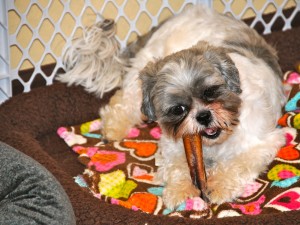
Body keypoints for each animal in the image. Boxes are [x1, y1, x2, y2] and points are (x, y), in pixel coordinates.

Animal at [58, 4, 286, 209]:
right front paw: (180, 190)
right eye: (179, 109)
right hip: (141, 77)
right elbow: (178, 166)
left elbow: (235, 165)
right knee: (123, 102)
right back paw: (113, 128)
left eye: (210, 92)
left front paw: (219, 187)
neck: (212, 145)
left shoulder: (261, 143)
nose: (203, 116)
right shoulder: (174, 144)